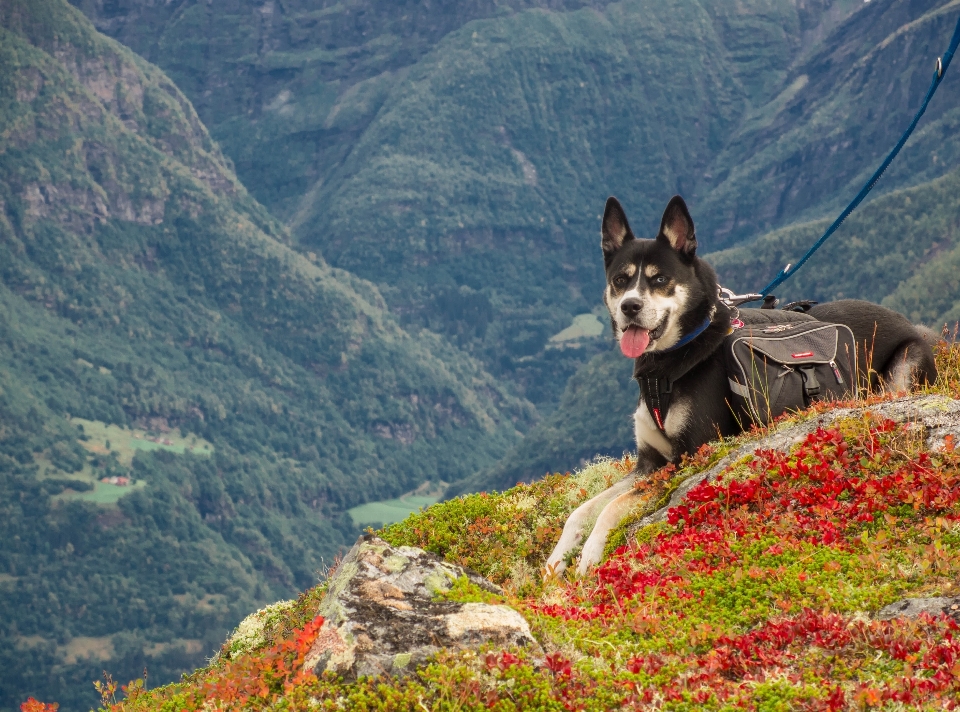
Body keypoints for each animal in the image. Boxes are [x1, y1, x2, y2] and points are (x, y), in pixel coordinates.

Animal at [548, 196, 936, 580]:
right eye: (620, 280)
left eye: (660, 279)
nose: (630, 306)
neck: (672, 361)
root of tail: (907, 321)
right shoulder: (648, 462)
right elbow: (582, 510)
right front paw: (557, 560)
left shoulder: (688, 456)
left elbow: (612, 507)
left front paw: (590, 554)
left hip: (904, 366)